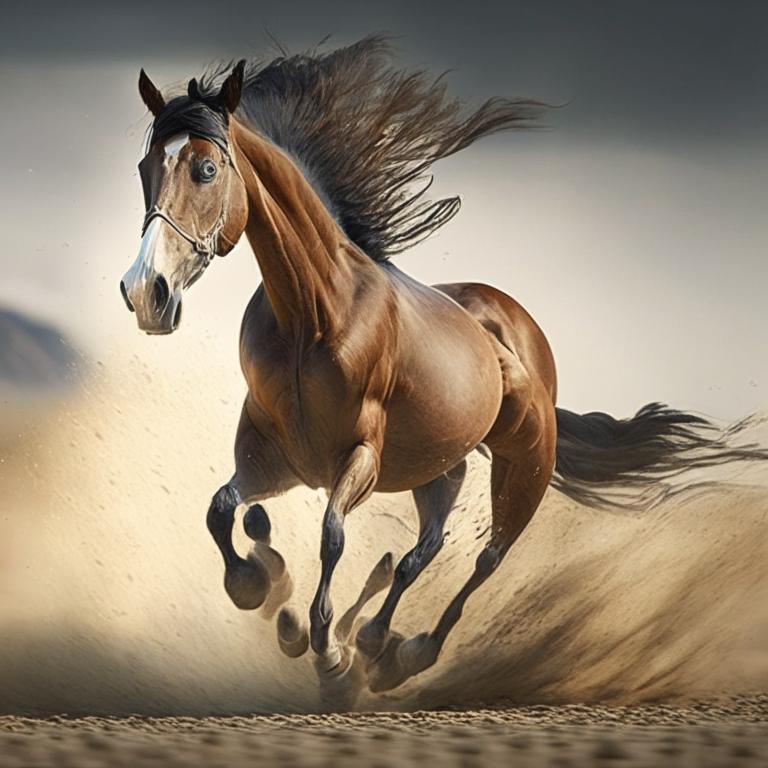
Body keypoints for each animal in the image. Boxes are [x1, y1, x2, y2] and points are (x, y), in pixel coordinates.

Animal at [120, 37, 767, 694]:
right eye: (145, 169)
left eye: (205, 169)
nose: (146, 292)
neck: (314, 315)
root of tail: (523, 330)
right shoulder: (274, 451)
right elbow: (223, 509)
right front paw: (258, 586)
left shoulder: (359, 455)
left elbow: (331, 535)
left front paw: (327, 650)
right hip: (441, 470)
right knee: (421, 552)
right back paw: (376, 641)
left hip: (525, 468)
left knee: (486, 557)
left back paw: (408, 650)